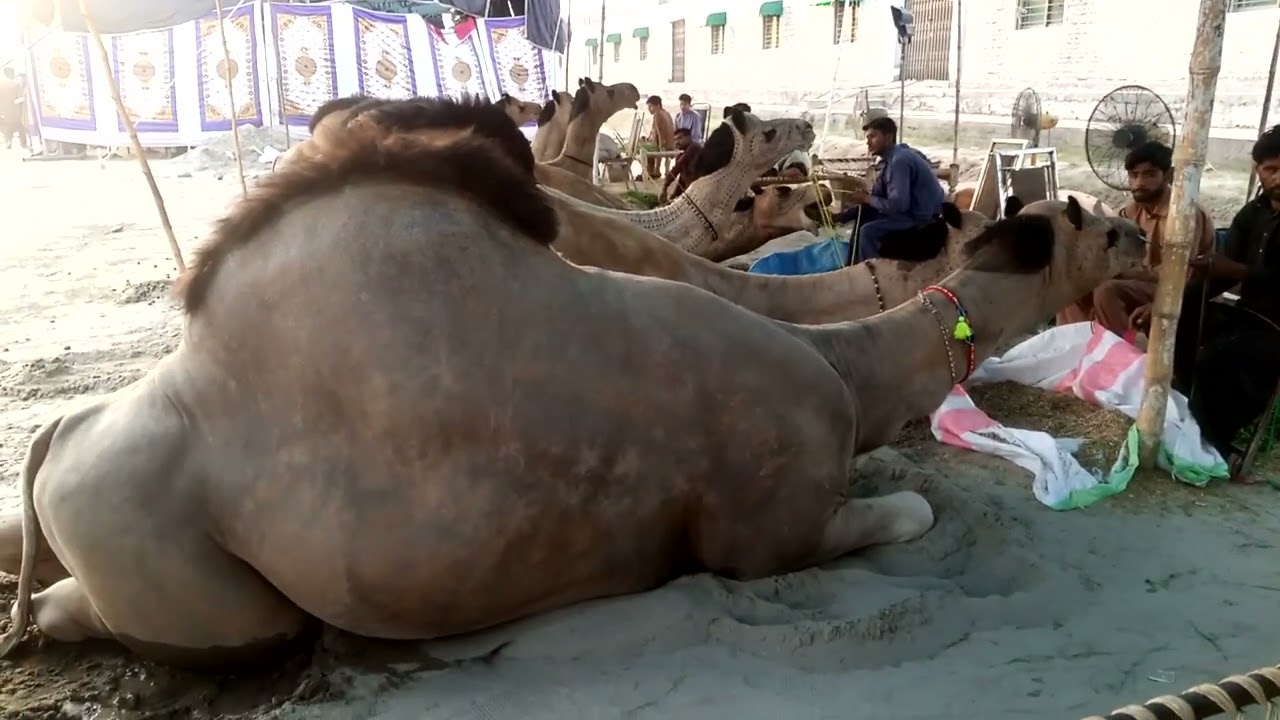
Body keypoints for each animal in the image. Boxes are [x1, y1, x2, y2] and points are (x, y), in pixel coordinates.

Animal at [0, 98, 1145, 667]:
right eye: (1090, 220)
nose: (1143, 234)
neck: (845, 374)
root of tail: (57, 440)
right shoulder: (763, 531)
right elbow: (907, 510)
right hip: (168, 554)